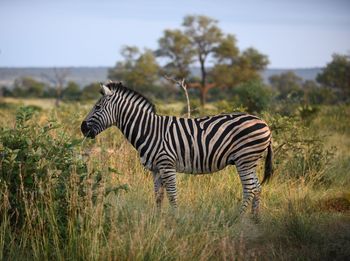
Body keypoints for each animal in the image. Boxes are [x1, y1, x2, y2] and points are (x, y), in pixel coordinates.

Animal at [82, 82, 274, 217]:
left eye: (97, 107)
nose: (82, 128)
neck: (149, 130)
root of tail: (264, 123)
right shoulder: (156, 169)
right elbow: (158, 196)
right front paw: (158, 220)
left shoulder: (167, 165)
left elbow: (172, 195)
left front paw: (175, 219)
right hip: (250, 162)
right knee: (257, 187)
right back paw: (254, 219)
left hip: (244, 159)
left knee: (249, 189)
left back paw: (237, 219)